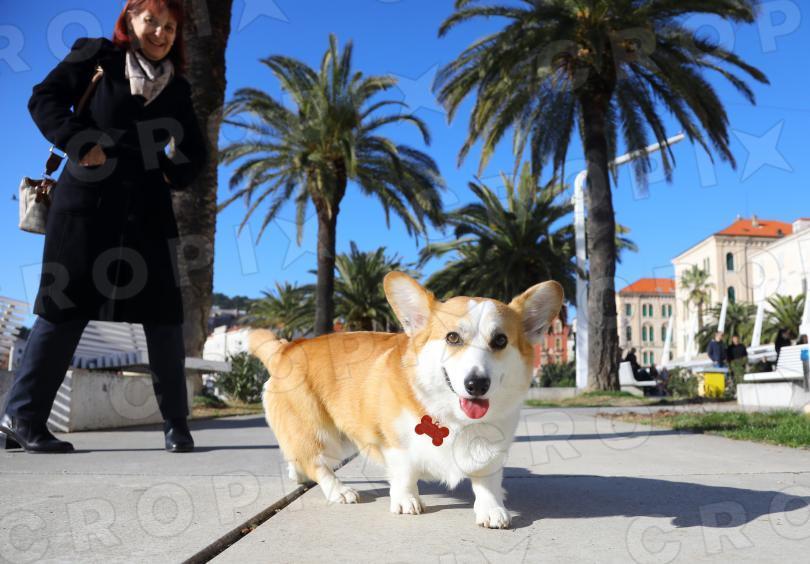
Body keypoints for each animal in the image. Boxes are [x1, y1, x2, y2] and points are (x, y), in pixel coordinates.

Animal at [247, 272, 563, 528]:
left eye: (500, 341)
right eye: (452, 338)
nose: (477, 384)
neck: (451, 416)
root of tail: (285, 348)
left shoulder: (490, 450)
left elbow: (486, 480)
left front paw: (492, 508)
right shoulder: (394, 443)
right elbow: (404, 473)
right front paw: (406, 501)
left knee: (297, 456)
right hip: (324, 435)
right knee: (316, 462)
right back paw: (339, 490)